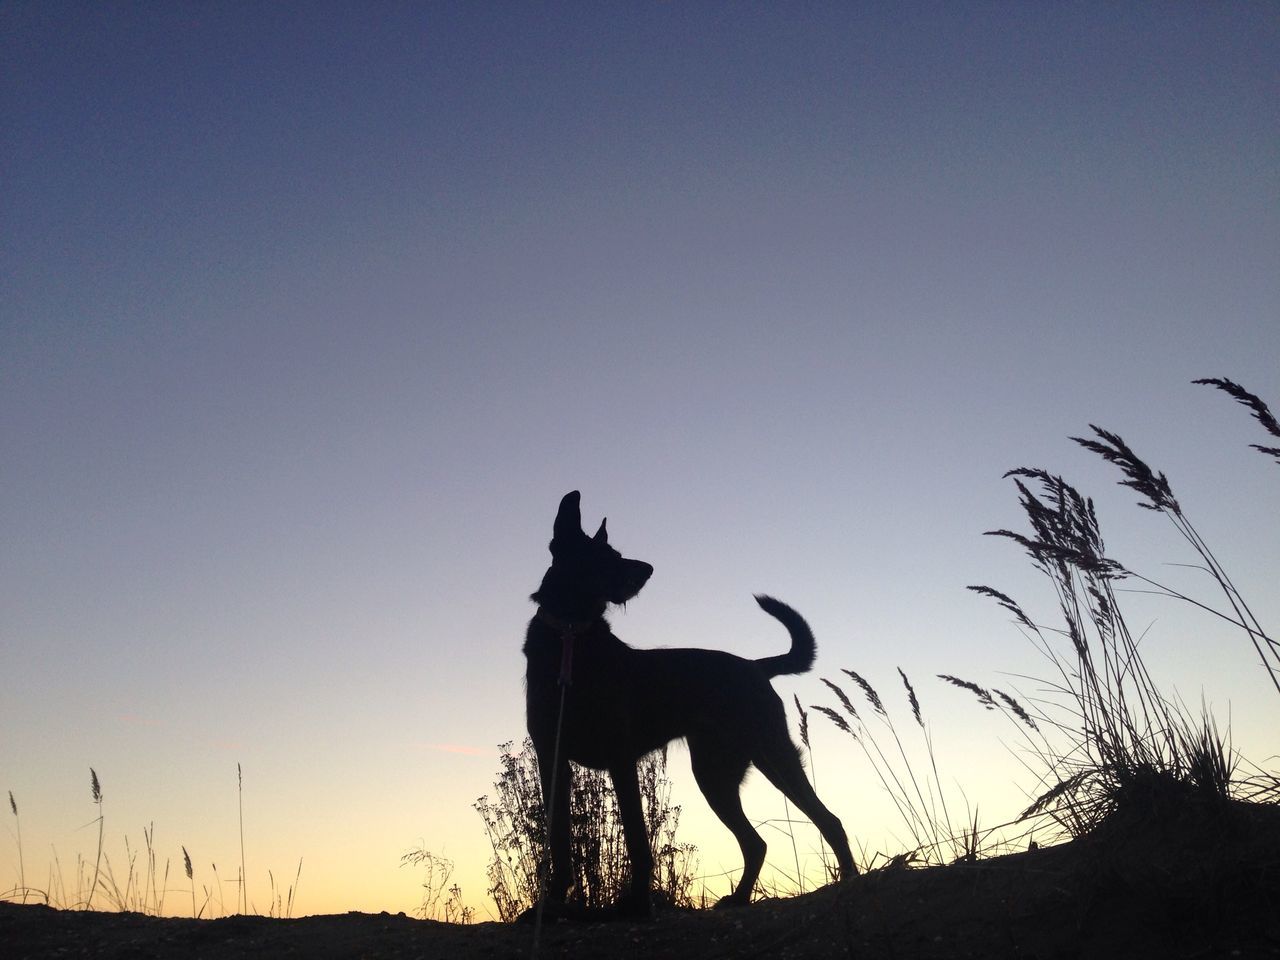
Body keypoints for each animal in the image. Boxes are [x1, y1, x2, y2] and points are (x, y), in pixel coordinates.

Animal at [524, 491, 855, 921]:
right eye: (604, 557)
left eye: (615, 553)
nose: (647, 569)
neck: (571, 637)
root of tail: (755, 665)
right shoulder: (553, 760)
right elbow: (560, 844)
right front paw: (549, 907)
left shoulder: (620, 759)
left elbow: (637, 839)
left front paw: (635, 906)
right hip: (719, 773)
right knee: (757, 842)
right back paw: (740, 897)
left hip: (769, 757)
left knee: (827, 820)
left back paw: (849, 879)